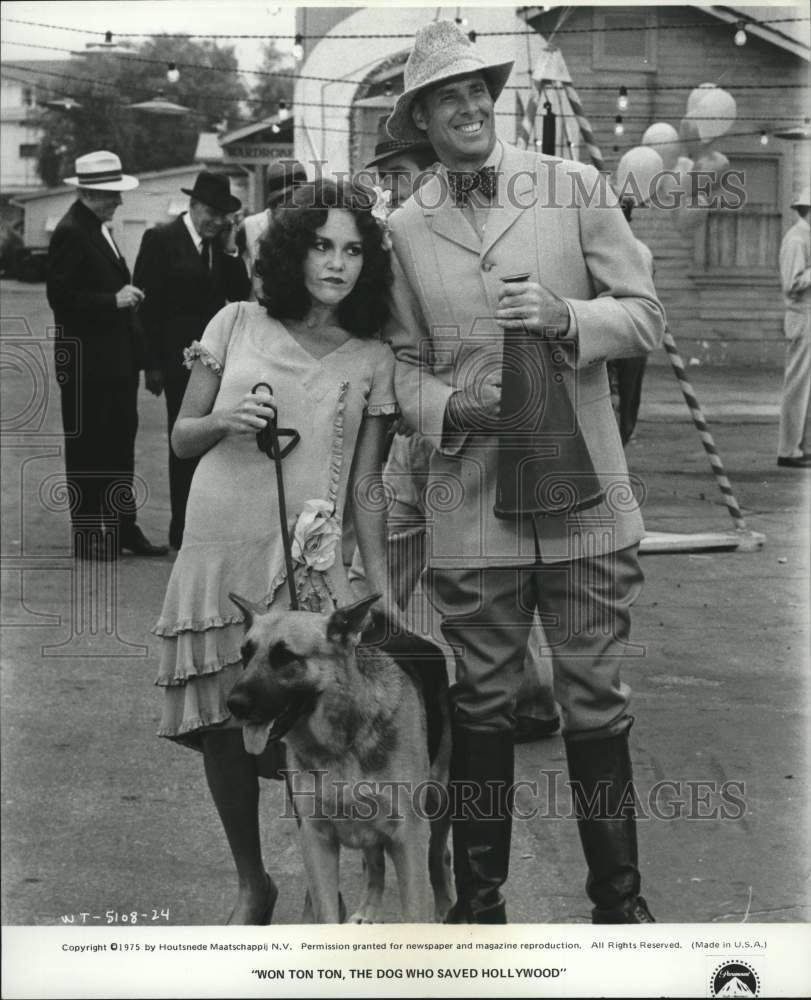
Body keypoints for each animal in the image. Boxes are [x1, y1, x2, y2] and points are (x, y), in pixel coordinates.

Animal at [225, 592, 454, 920]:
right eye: (246, 654)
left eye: (285, 657)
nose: (233, 704)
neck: (341, 743)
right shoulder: (316, 840)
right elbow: (327, 912)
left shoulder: (408, 837)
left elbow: (414, 911)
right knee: (375, 863)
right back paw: (368, 909)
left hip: (439, 801)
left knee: (439, 855)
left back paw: (446, 906)